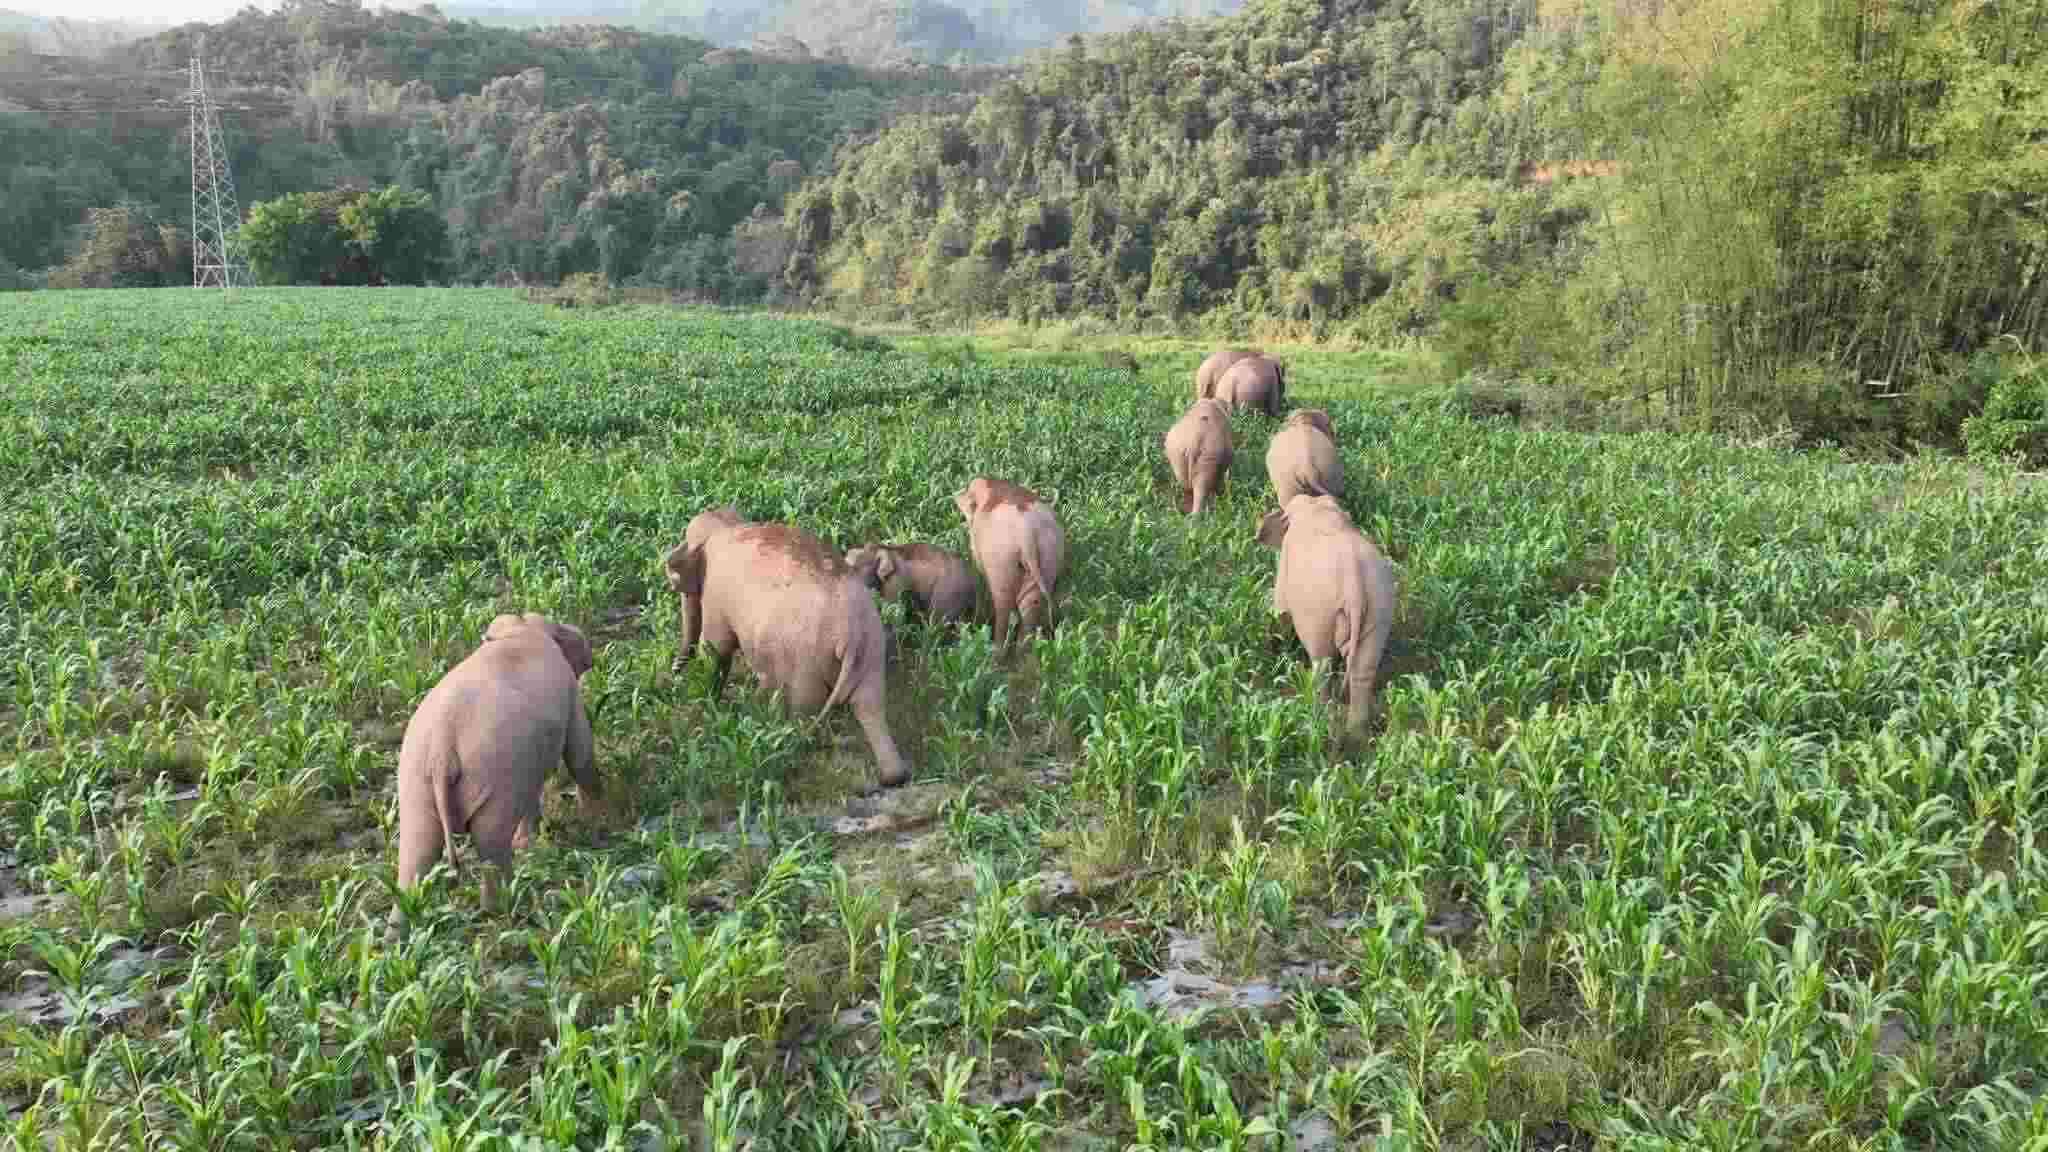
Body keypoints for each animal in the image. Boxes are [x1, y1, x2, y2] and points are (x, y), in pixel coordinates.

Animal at [393, 612, 603, 919]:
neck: (520, 629)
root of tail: (442, 750)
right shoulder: (568, 692)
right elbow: (579, 751)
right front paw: (598, 814)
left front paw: (529, 842)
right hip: (492, 775)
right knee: (490, 842)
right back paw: (504, 908)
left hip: (415, 783)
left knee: (416, 854)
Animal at [665, 515, 910, 790]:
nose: (673, 675)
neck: (727, 523)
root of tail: (851, 633)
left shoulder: (715, 594)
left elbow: (716, 649)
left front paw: (710, 703)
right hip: (872, 651)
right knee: (870, 705)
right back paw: (893, 777)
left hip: (806, 663)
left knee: (803, 710)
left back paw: (795, 753)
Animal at [845, 541, 977, 629]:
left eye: (856, 570)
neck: (887, 549)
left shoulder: (896, 581)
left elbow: (894, 610)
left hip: (948, 593)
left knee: (938, 622)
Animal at [954, 476, 1065, 655]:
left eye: (968, 490)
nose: (955, 496)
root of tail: (1027, 533)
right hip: (1049, 555)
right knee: (1030, 605)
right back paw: (1022, 650)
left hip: (1002, 560)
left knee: (1003, 604)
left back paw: (996, 650)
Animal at [1256, 493, 1396, 739]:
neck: (1316, 508)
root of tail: (1354, 584)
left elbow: (1280, 611)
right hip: (1379, 607)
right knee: (1363, 668)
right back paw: (1355, 734)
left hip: (1319, 614)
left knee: (1322, 663)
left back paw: (1322, 717)